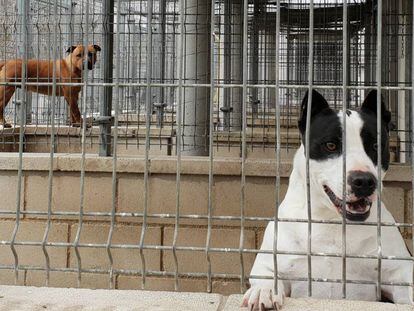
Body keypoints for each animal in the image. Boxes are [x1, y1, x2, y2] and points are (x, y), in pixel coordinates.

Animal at [243, 89, 414, 310]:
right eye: (331, 145)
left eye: (376, 145)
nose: (364, 181)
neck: (331, 220)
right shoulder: (268, 263)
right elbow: (267, 276)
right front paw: (263, 291)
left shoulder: (399, 270)